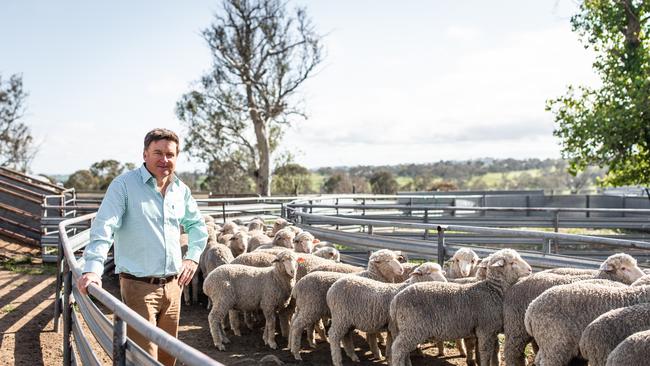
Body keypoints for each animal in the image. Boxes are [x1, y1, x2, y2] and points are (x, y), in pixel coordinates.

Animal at [388, 249, 528, 366]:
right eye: (512, 262)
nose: (530, 270)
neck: (493, 290)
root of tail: (396, 300)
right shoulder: (485, 330)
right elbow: (485, 353)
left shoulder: (492, 331)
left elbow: (493, 352)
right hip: (413, 328)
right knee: (398, 349)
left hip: (404, 328)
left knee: (402, 350)